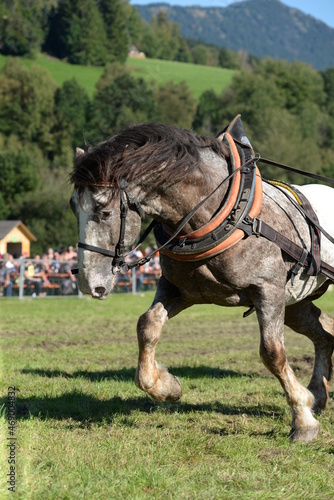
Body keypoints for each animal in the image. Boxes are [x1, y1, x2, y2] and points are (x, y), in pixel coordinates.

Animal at [70, 114, 334, 442]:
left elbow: (273, 353)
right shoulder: (179, 289)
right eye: (73, 207)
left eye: (105, 212)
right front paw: (164, 386)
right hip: (296, 302)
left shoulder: (268, 291)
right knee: (326, 333)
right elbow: (147, 325)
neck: (224, 214)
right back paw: (318, 393)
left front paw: (302, 418)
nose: (87, 283)